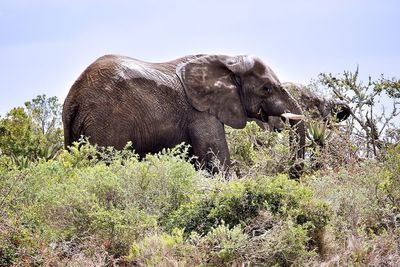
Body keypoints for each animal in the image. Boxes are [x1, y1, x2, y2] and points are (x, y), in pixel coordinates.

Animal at [63, 54, 304, 177]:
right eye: (267, 88)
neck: (227, 60)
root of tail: (73, 98)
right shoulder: (200, 113)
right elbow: (216, 161)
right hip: (106, 122)